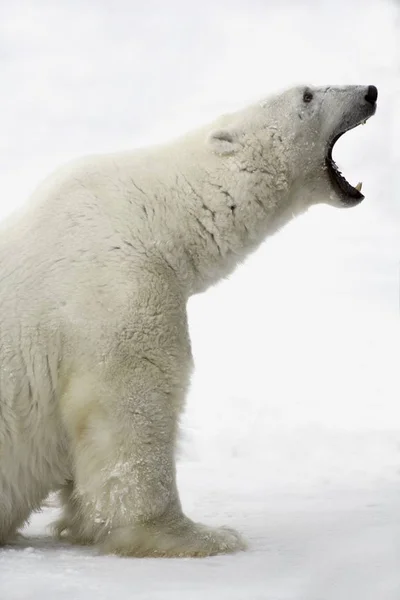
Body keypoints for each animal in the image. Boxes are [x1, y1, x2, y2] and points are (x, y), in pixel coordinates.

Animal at [0, 84, 376, 556]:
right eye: (307, 95)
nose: (371, 92)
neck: (153, 214)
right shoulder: (119, 288)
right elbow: (131, 406)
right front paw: (199, 535)